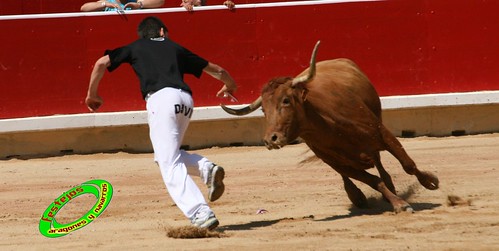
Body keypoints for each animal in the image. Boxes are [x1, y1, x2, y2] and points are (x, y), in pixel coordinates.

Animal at [225, 40, 440, 212]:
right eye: (263, 109)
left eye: (286, 101)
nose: (271, 139)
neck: (332, 127)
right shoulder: (336, 162)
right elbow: (373, 181)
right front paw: (399, 203)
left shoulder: (383, 134)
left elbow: (408, 165)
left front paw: (430, 182)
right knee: (356, 174)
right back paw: (359, 197)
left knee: (378, 161)